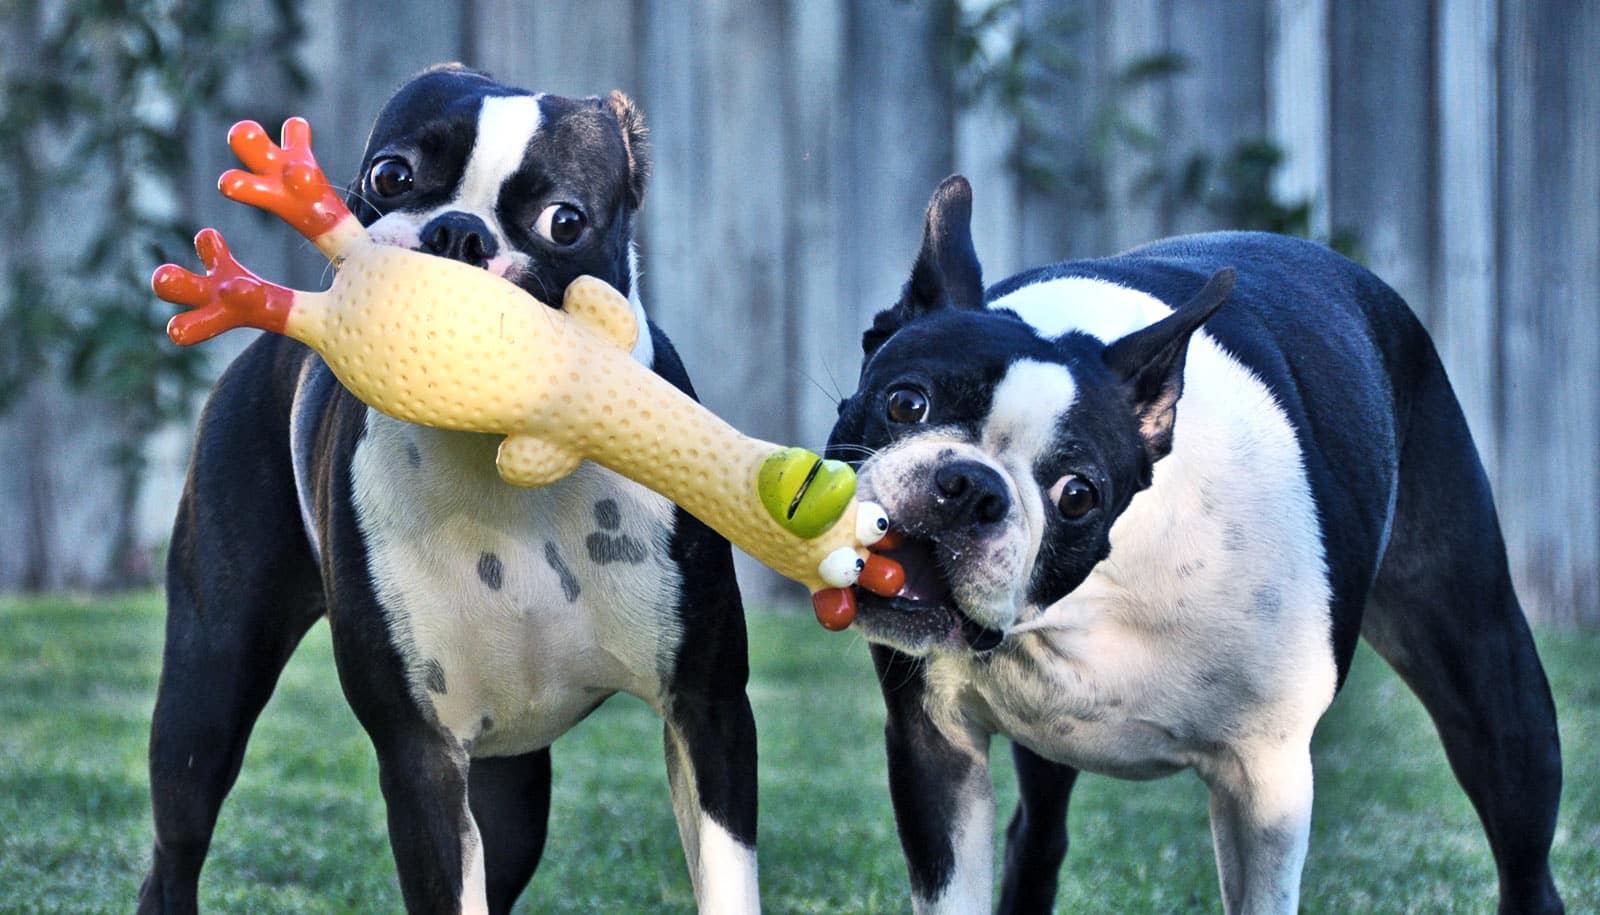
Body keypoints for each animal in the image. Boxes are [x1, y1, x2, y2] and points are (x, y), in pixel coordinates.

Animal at [140, 65, 758, 915]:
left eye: (565, 221)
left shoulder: (709, 709)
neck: (507, 457)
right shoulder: (420, 756)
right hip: (209, 682)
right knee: (175, 846)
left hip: (513, 791)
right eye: (391, 176)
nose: (458, 233)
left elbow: (727, 878)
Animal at [832, 175, 1568, 908]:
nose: (970, 485)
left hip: (1488, 677)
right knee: (1038, 837)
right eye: (906, 403)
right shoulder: (936, 745)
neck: (1089, 603)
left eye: (1077, 494)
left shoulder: (1265, 783)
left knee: (1524, 850)